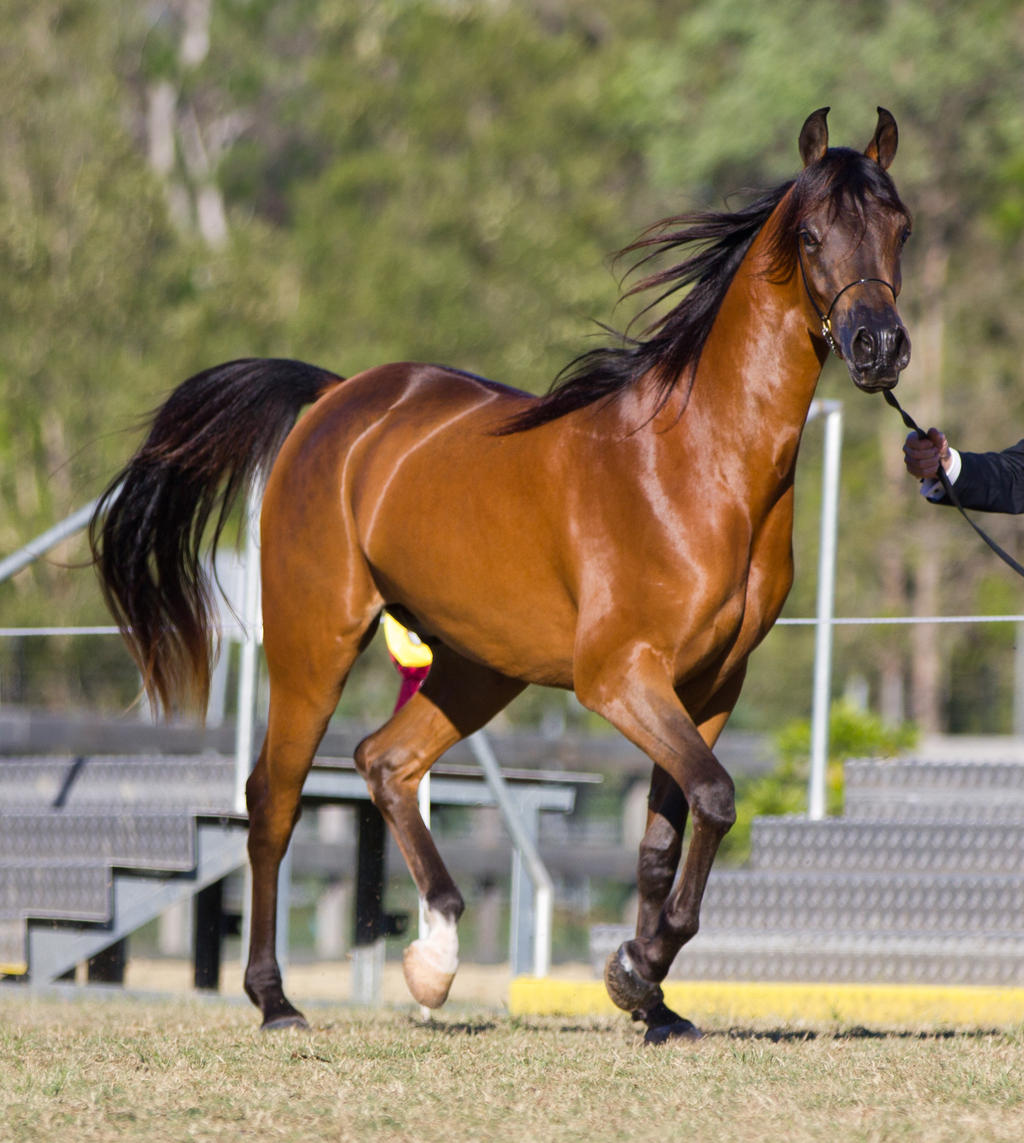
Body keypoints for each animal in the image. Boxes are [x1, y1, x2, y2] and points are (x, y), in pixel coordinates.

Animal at [90, 109, 914, 1046]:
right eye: (811, 236)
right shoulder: (619, 677)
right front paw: (636, 968)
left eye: (900, 228)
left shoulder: (709, 686)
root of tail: (337, 401)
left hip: (478, 668)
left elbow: (667, 838)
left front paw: (653, 999)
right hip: (316, 645)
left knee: (386, 762)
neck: (698, 464)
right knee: (275, 799)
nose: (880, 348)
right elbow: (715, 794)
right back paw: (276, 1000)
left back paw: (435, 957)